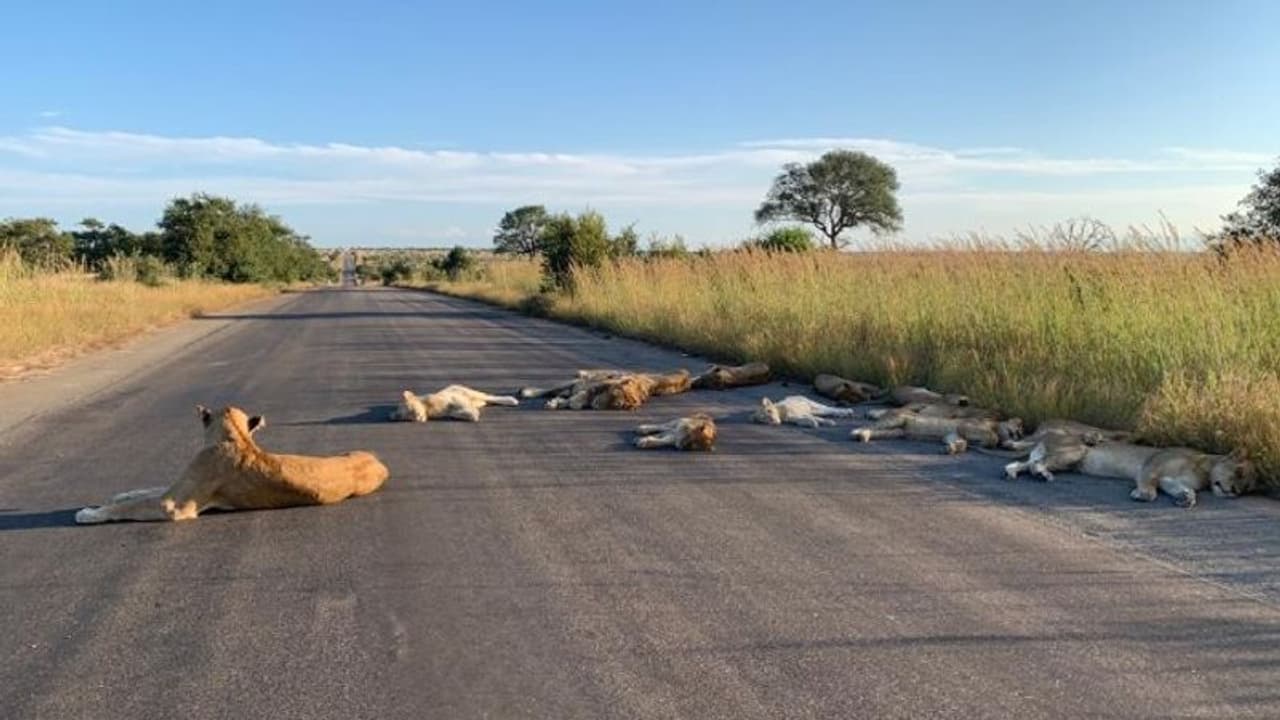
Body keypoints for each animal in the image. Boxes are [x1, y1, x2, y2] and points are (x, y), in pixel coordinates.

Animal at [75, 405, 389, 524]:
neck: (236, 437)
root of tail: (379, 461)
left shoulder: (175, 506)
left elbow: (130, 506)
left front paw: (89, 513)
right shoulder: (176, 488)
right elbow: (145, 491)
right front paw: (120, 494)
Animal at [390, 384, 520, 422]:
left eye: (411, 409)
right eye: (408, 416)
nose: (417, 417)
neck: (428, 409)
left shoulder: (451, 397)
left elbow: (456, 402)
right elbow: (454, 413)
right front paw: (472, 414)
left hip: (470, 392)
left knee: (490, 397)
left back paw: (512, 400)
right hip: (479, 401)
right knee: (485, 401)